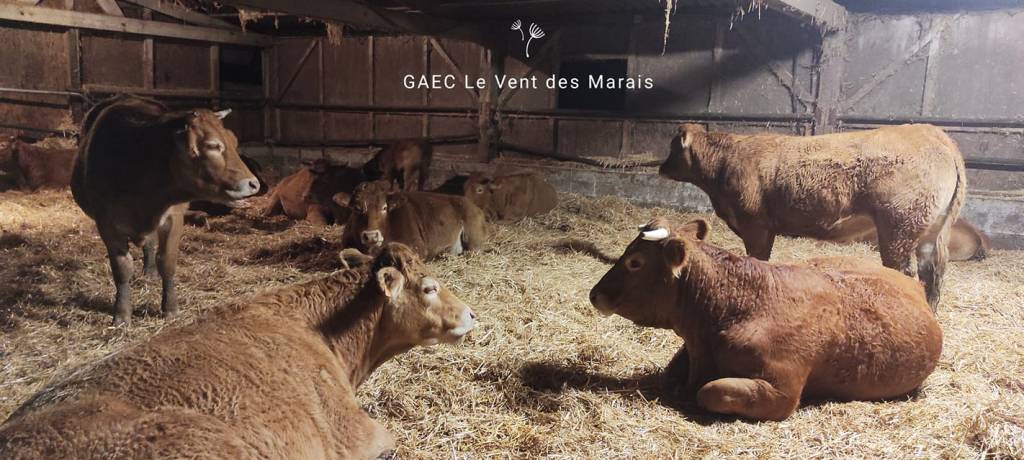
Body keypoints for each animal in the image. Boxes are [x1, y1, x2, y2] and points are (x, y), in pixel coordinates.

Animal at [72, 95, 260, 324]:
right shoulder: (106, 224)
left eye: (234, 142)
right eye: (213, 146)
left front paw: (170, 308)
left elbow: (167, 262)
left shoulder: (173, 218)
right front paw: (122, 314)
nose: (253, 183)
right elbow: (122, 268)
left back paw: (150, 270)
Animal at [589, 217, 942, 422]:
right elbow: (673, 375)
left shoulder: (783, 391)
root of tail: (910, 282)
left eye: (635, 262)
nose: (594, 294)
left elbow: (710, 391)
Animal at [658, 123, 965, 310]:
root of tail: (933, 133)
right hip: (930, 233)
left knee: (909, 275)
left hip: (898, 230)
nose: (661, 167)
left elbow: (758, 259)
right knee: (932, 276)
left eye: (673, 146)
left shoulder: (756, 225)